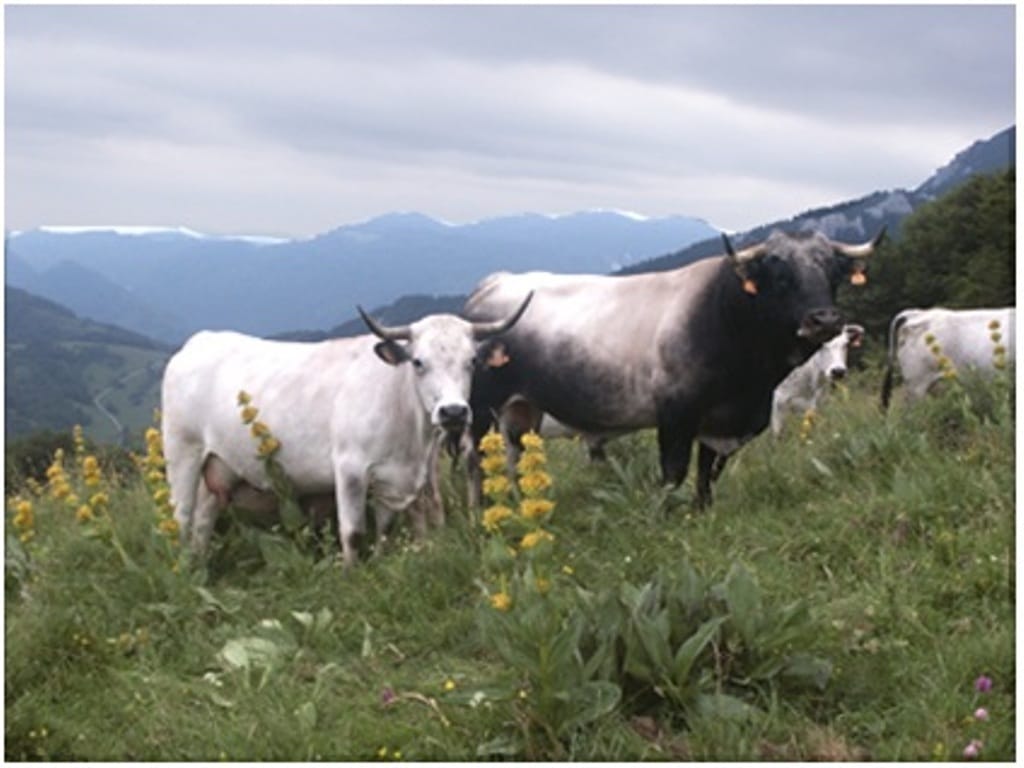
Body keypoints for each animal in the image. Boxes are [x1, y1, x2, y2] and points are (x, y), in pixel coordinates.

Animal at [160, 296, 532, 569]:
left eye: (472, 361)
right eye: (418, 362)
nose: (453, 412)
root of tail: (199, 341)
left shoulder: (397, 477)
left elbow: (385, 528)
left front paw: (380, 563)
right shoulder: (350, 468)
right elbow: (353, 532)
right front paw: (352, 574)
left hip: (219, 464)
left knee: (203, 518)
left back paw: (199, 564)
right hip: (183, 451)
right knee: (181, 515)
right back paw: (182, 570)